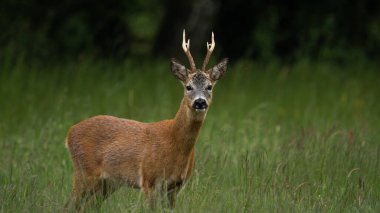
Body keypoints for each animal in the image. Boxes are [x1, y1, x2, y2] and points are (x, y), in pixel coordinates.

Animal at [64, 30, 229, 210]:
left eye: (209, 87)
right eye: (188, 87)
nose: (200, 102)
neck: (175, 142)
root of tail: (69, 132)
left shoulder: (176, 186)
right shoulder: (149, 180)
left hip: (108, 182)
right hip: (84, 171)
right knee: (69, 204)